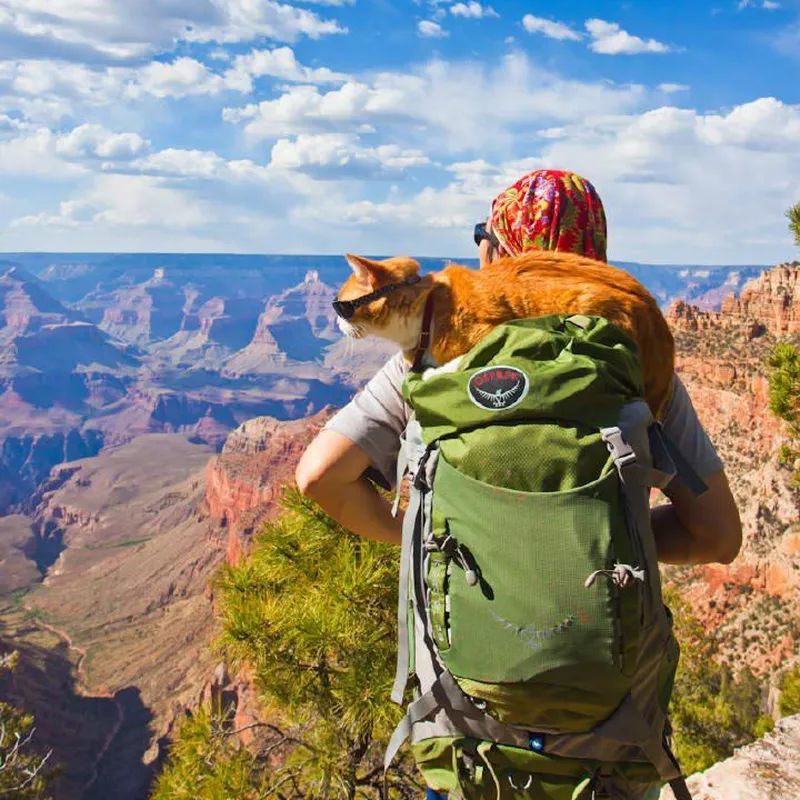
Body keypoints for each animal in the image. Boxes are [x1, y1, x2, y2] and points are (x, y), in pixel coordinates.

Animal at [334, 250, 672, 416]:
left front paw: (432, 373)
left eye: (340, 307)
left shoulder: (493, 331)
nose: (337, 322)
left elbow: (461, 361)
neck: (427, 309)